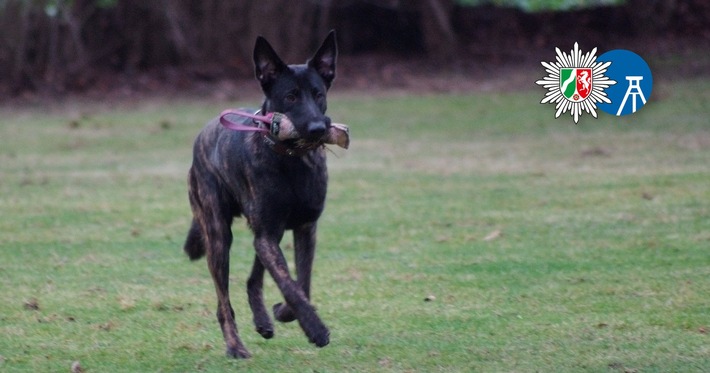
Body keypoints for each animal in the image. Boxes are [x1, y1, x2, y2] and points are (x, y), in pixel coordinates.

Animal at [184, 32, 340, 358]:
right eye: (290, 97)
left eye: (318, 94)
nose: (318, 129)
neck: (291, 159)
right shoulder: (268, 235)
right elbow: (290, 284)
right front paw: (315, 329)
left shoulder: (303, 228)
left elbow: (301, 282)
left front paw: (285, 312)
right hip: (219, 236)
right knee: (223, 302)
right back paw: (235, 346)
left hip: (267, 233)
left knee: (252, 278)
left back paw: (263, 320)